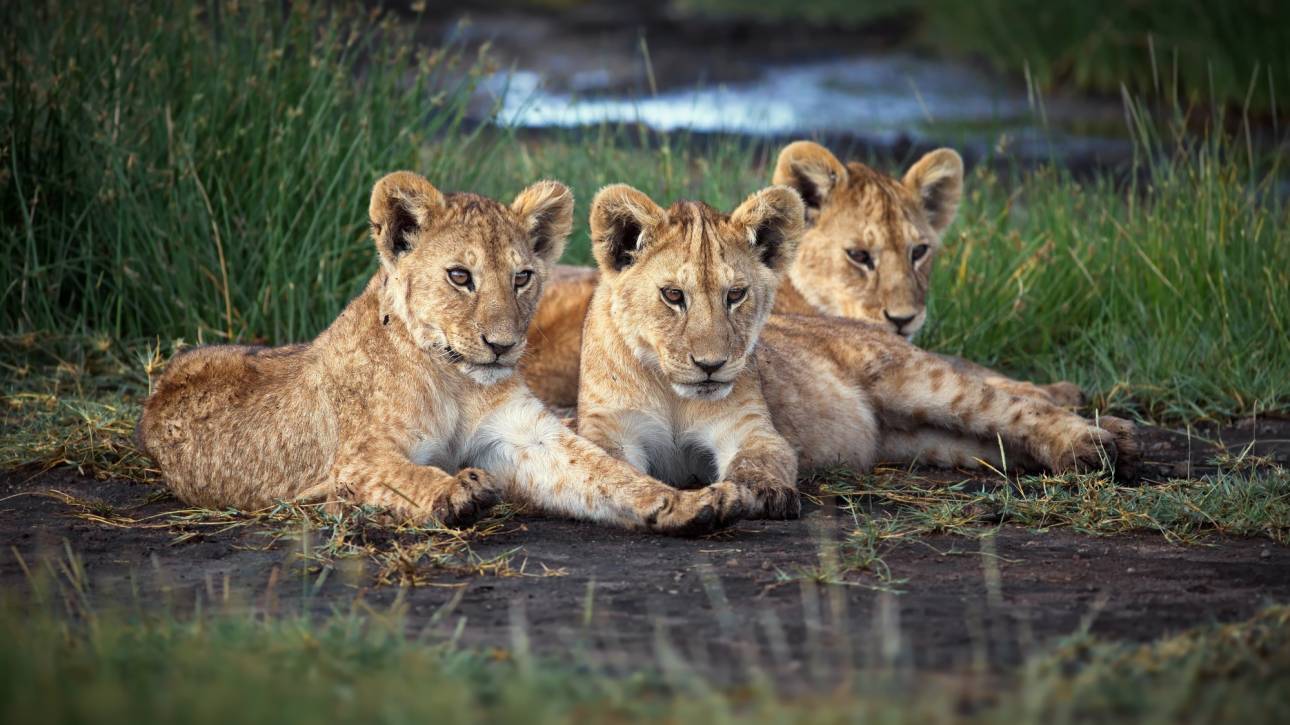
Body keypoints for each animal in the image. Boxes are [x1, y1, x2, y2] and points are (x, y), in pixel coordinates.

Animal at [136, 172, 744, 536]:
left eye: (522, 277)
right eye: (459, 276)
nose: (501, 346)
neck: (454, 378)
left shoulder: (526, 437)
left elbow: (606, 473)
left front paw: (684, 503)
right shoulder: (355, 459)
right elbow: (408, 476)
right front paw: (457, 492)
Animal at [521, 142, 1081, 411]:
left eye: (919, 251)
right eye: (859, 256)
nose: (904, 318)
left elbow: (965, 364)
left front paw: (1054, 389)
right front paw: (1050, 394)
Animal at [574, 184, 1138, 518]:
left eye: (735, 295)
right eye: (673, 295)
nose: (711, 366)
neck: (672, 390)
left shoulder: (750, 427)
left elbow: (759, 459)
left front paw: (755, 494)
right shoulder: (610, 431)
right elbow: (611, 467)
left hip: (917, 382)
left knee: (1016, 406)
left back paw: (1096, 445)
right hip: (927, 439)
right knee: (999, 439)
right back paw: (1113, 441)